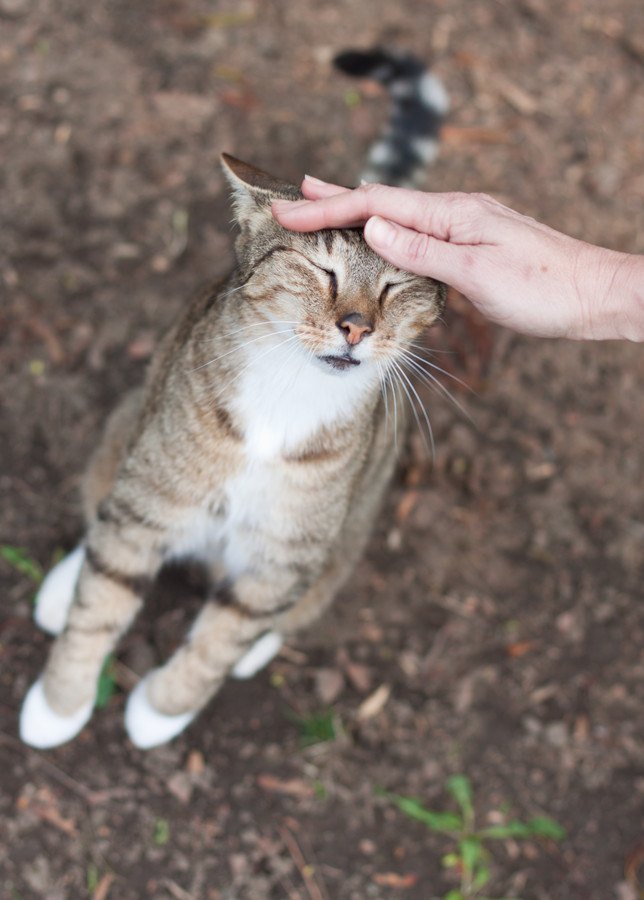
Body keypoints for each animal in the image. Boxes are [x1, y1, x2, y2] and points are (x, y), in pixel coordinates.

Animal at [17, 51, 446, 752]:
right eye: (320, 269)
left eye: (396, 284)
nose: (356, 327)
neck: (288, 393)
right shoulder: (150, 499)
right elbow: (101, 600)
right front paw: (60, 704)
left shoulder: (284, 557)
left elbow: (220, 640)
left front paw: (160, 709)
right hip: (132, 431)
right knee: (104, 514)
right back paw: (62, 587)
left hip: (342, 538)